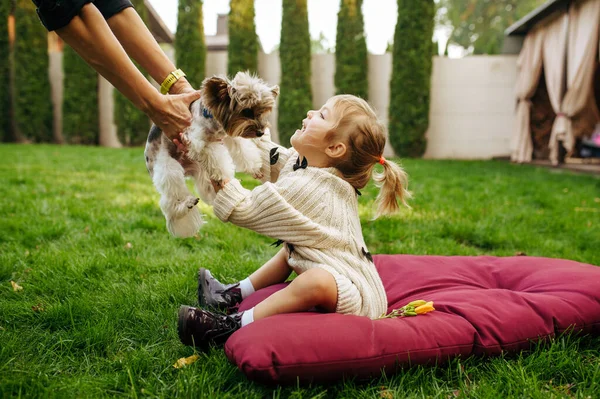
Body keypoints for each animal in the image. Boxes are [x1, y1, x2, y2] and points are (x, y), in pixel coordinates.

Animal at [145, 72, 278, 238]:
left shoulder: (230, 137)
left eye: (262, 111)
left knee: (206, 189)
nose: (260, 132)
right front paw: (224, 172)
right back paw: (185, 204)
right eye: (247, 111)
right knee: (169, 202)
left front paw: (254, 168)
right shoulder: (197, 141)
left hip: (199, 169)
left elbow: (243, 150)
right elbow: (215, 157)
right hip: (168, 168)